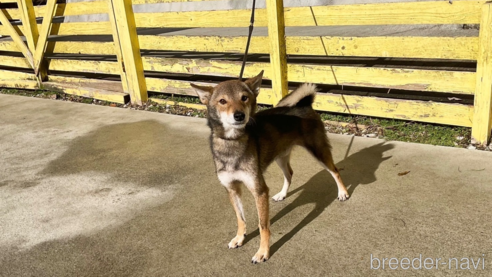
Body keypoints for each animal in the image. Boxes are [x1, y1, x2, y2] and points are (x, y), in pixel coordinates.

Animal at [192, 70, 350, 264]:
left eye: (244, 98)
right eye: (222, 101)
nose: (239, 116)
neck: (232, 142)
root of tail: (304, 104)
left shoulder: (259, 190)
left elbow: (263, 226)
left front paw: (263, 252)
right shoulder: (232, 189)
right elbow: (240, 219)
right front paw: (239, 238)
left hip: (318, 151)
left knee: (334, 170)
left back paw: (342, 193)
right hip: (280, 156)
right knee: (290, 173)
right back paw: (282, 194)